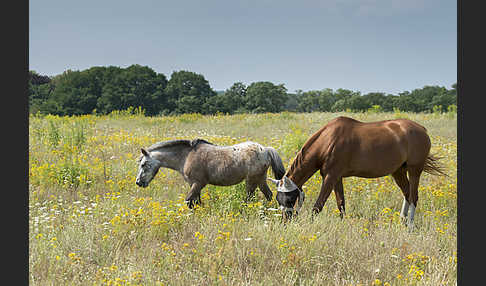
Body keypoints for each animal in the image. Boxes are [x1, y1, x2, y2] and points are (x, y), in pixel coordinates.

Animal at [135, 139, 286, 208]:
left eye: (143, 164)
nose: (138, 182)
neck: (186, 156)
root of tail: (265, 149)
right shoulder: (194, 185)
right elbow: (196, 202)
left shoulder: (198, 183)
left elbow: (188, 201)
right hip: (261, 179)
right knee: (269, 195)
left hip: (251, 181)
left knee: (249, 198)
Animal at [268, 115, 446, 229]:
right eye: (278, 199)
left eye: (290, 199)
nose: (285, 222)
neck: (328, 140)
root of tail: (422, 129)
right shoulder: (336, 178)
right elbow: (341, 203)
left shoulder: (330, 177)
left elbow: (318, 205)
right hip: (398, 172)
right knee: (407, 194)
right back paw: (402, 221)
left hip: (415, 170)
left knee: (414, 196)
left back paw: (410, 225)